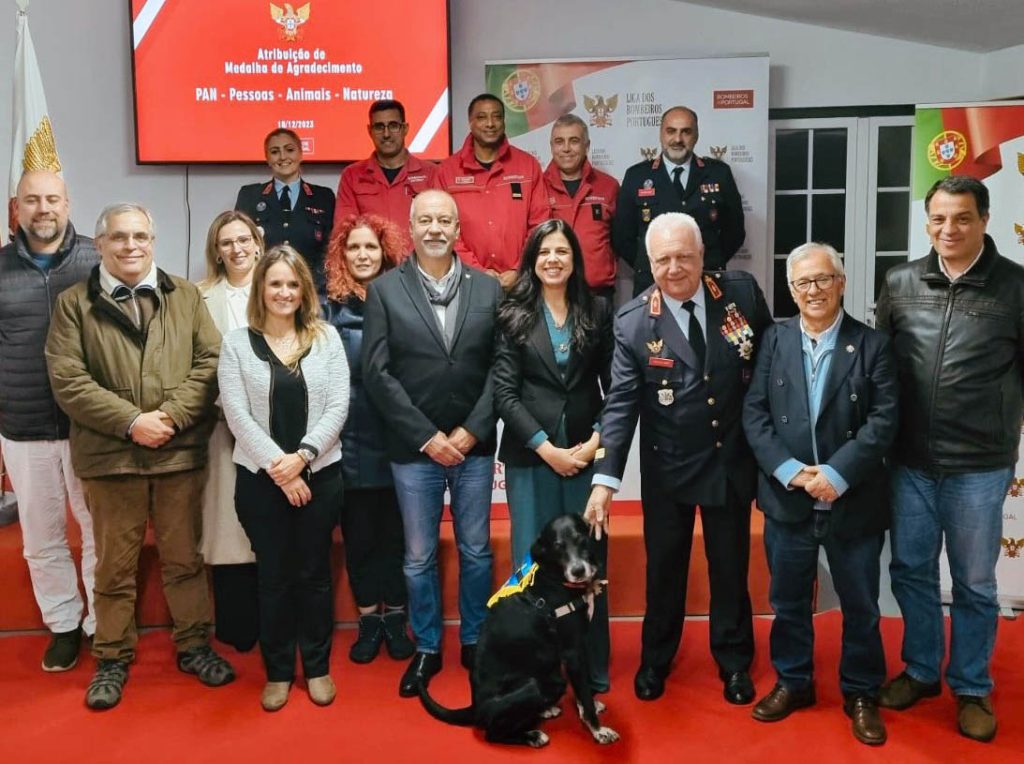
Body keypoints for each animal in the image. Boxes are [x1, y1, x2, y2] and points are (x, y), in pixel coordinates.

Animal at [415, 512, 614, 745]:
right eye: (557, 547)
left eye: (580, 538)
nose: (578, 571)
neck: (552, 576)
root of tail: (475, 708)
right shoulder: (573, 652)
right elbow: (583, 693)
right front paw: (598, 730)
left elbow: (583, 693)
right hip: (539, 685)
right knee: (492, 734)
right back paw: (533, 735)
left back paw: (545, 710)